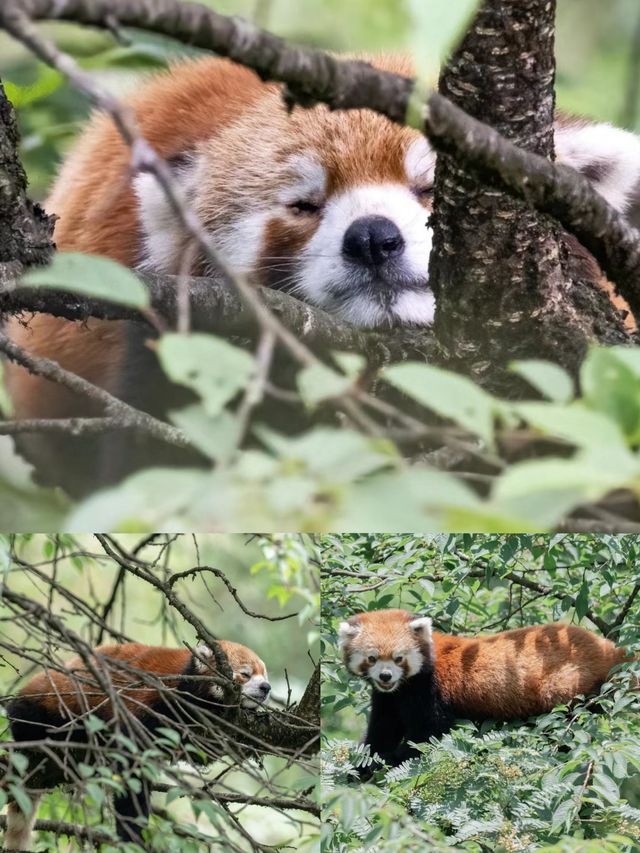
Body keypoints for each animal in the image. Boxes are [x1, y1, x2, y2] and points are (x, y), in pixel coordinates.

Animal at [2, 640, 268, 844]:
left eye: (263, 674)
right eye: (245, 674)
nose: (266, 687)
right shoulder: (148, 700)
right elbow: (132, 770)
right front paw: (132, 833)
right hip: (48, 701)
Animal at [340, 604, 636, 772]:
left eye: (398, 658)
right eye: (372, 658)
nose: (386, 675)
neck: (404, 687)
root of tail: (608, 649)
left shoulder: (427, 689)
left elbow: (429, 734)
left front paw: (389, 759)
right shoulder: (389, 697)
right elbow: (383, 729)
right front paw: (364, 761)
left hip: (568, 684)